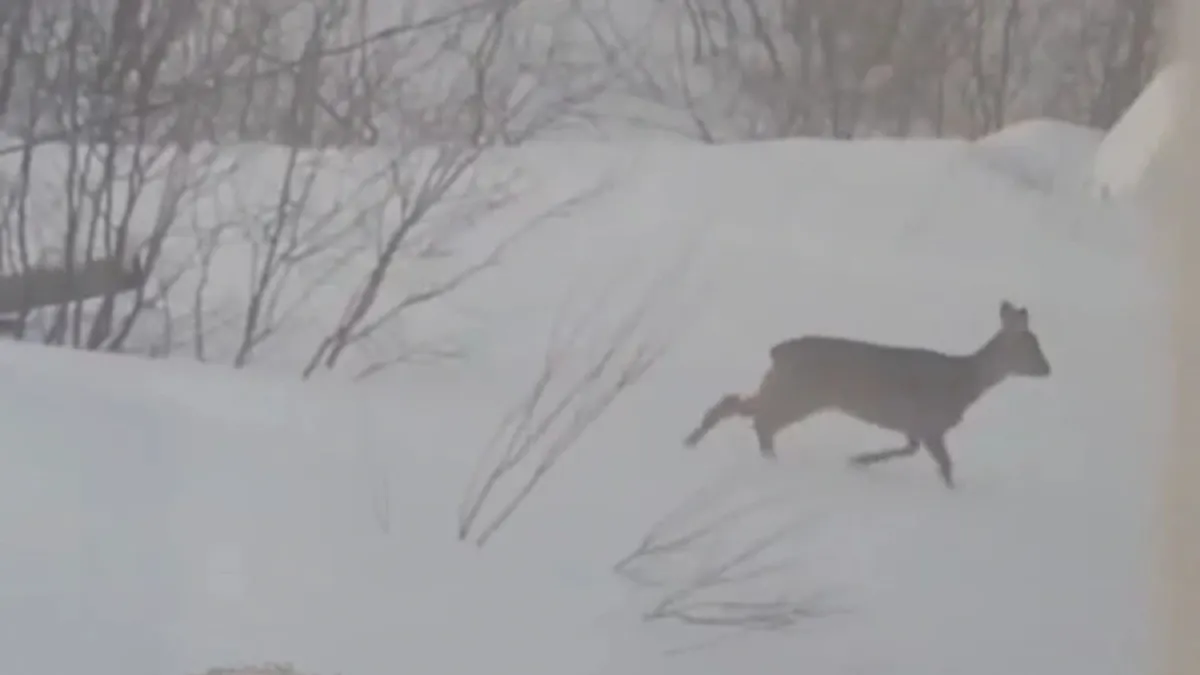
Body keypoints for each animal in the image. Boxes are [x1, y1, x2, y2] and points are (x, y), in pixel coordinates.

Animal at [686, 297, 1051, 482]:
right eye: (1032, 346)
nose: (1048, 369)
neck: (965, 382)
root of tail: (778, 351)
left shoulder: (916, 426)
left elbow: (908, 449)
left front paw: (859, 461)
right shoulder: (931, 423)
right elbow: (945, 465)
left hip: (781, 386)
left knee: (737, 404)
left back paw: (692, 441)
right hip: (799, 393)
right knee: (760, 421)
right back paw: (769, 462)